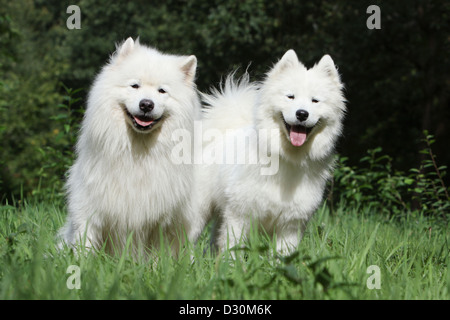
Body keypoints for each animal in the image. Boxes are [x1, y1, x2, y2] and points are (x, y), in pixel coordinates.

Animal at [199, 50, 346, 255]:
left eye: (315, 101)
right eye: (290, 97)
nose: (302, 114)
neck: (287, 158)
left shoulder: (290, 225)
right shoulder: (239, 215)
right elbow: (233, 249)